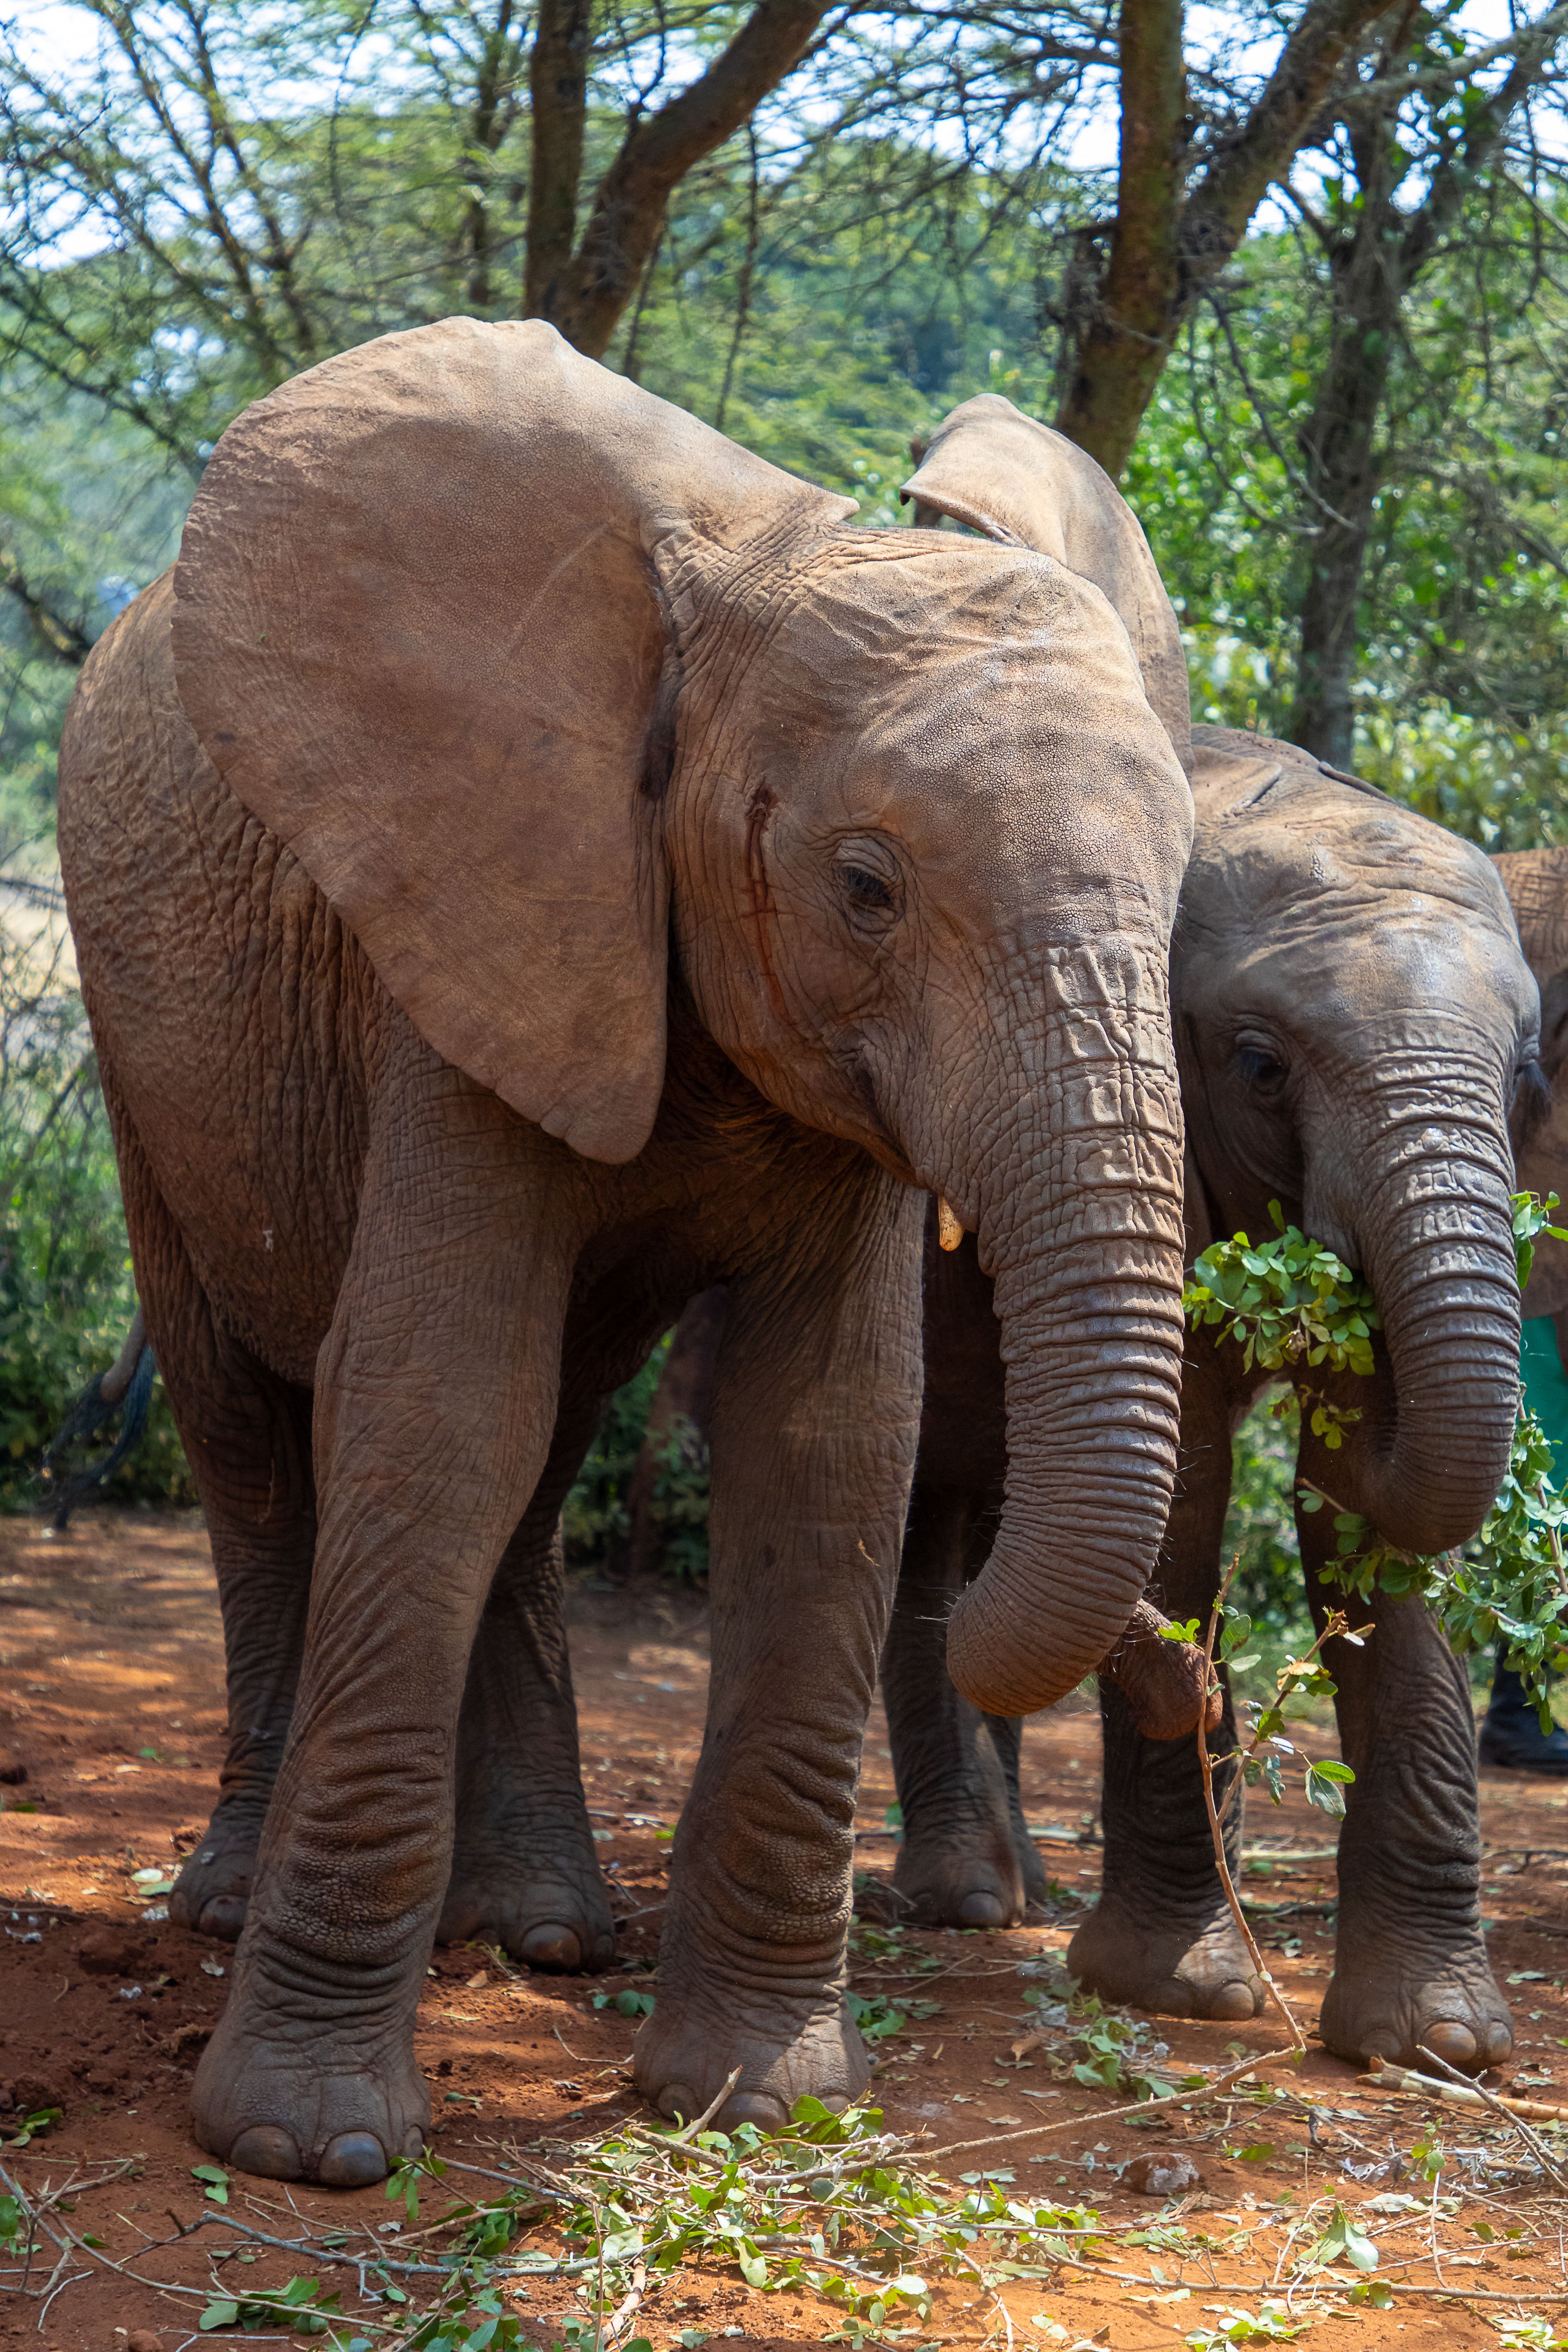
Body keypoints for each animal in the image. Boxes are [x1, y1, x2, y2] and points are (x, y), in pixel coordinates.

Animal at [56, 321, 1205, 2186]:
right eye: (865, 885)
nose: (1186, 1679)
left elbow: (828, 1439)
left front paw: (760, 2099)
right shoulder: (463, 916)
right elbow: (432, 1402)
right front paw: (308, 2147)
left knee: (546, 1453)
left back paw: (537, 1932)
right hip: (140, 1040)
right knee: (251, 1439)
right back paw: (234, 1910)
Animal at [877, 396, 1537, 2074]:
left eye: (1528, 1076)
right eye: (1254, 1064)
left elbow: (1370, 1507)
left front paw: (1435, 2044)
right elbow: (1180, 1487)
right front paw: (1183, 1994)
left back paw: (1015, 1890)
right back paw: (967, 1902)